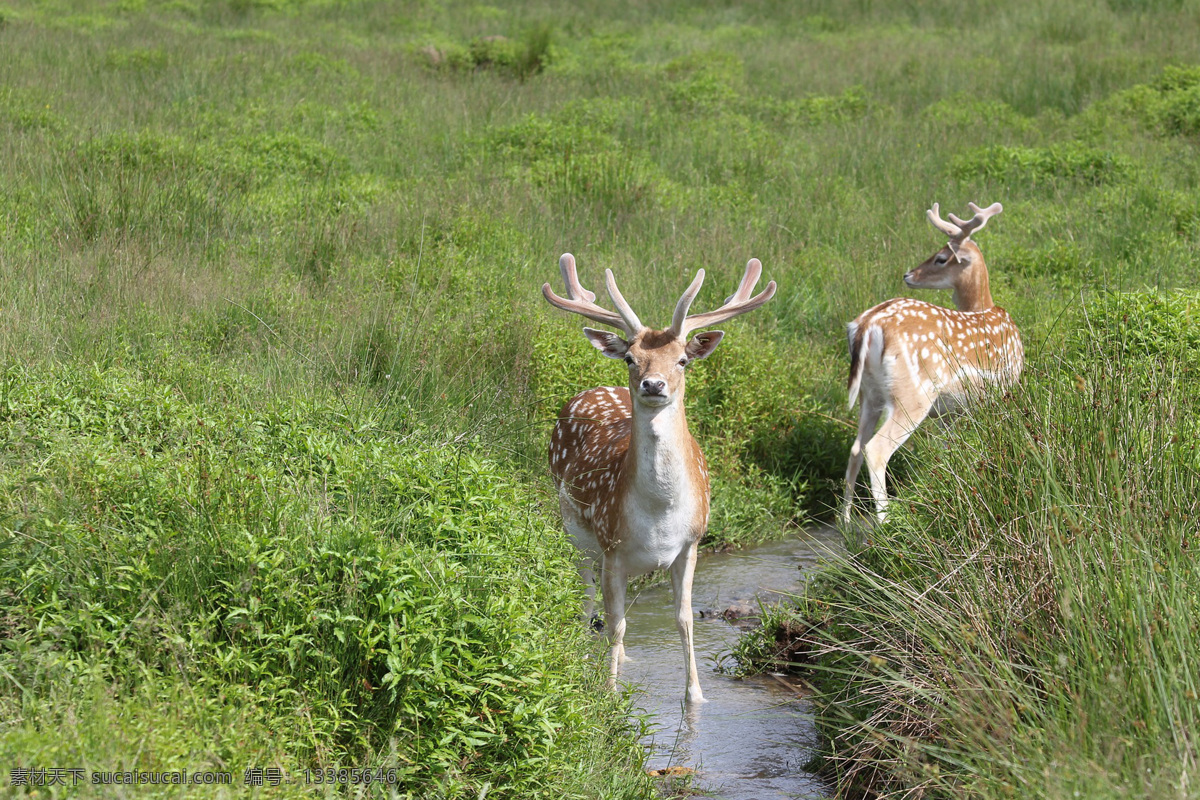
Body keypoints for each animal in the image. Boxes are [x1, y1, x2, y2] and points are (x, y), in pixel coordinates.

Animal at [542, 253, 776, 704]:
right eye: (631, 358)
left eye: (682, 359)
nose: (653, 384)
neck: (659, 514)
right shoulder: (612, 545)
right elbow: (615, 621)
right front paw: (609, 694)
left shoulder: (691, 543)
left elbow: (683, 620)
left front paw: (695, 696)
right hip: (576, 534)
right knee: (587, 598)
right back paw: (586, 655)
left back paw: (625, 659)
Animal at [841, 202, 1024, 526]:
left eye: (940, 258)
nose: (908, 274)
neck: (986, 308)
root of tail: (867, 326)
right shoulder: (1000, 393)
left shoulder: (951, 411)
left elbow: (950, 450)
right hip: (913, 394)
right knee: (876, 449)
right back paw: (887, 524)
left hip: (869, 393)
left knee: (855, 448)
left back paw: (847, 523)